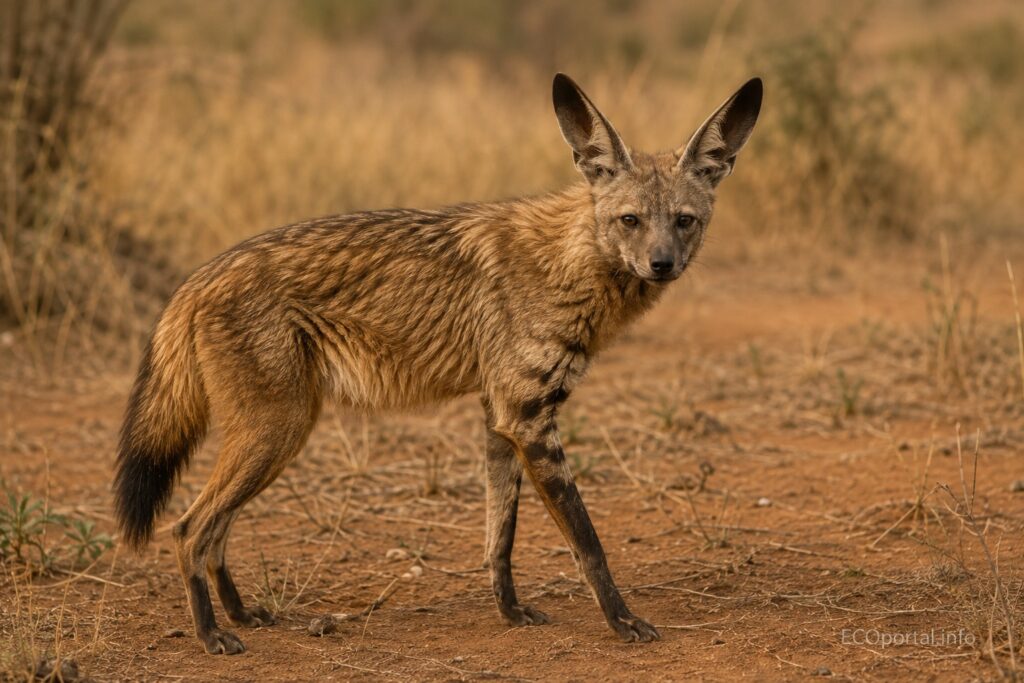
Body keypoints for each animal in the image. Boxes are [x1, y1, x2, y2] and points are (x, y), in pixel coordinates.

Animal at [113, 73, 762, 654]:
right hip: (277, 433)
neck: (570, 263)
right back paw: (211, 636)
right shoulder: (530, 422)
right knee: (189, 528)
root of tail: (195, 279)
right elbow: (589, 545)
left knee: (214, 531)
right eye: (630, 220)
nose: (662, 264)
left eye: (684, 221)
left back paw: (243, 615)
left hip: (274, 438)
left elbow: (499, 541)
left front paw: (511, 614)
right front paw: (623, 623)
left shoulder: (502, 420)